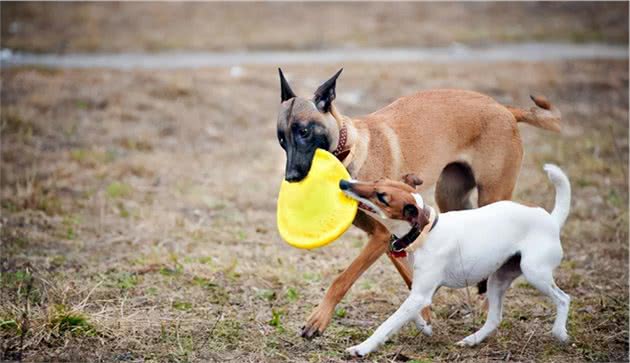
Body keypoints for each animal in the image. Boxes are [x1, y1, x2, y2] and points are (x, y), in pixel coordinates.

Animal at [276, 67, 564, 338]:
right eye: (281, 138)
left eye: (304, 132)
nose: (291, 178)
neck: (350, 151)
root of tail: (503, 108)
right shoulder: (390, 238)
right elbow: (409, 275)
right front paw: (424, 315)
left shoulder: (380, 237)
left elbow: (343, 278)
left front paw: (318, 319)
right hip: (451, 197)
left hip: (493, 194)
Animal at [340, 166, 572, 358]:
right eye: (377, 180)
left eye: (382, 197)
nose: (343, 183)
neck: (425, 232)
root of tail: (551, 220)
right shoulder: (420, 290)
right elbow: (410, 313)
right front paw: (424, 326)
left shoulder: (420, 294)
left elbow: (388, 323)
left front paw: (362, 348)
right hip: (498, 280)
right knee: (495, 319)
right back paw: (472, 340)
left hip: (535, 273)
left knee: (563, 298)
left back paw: (560, 332)